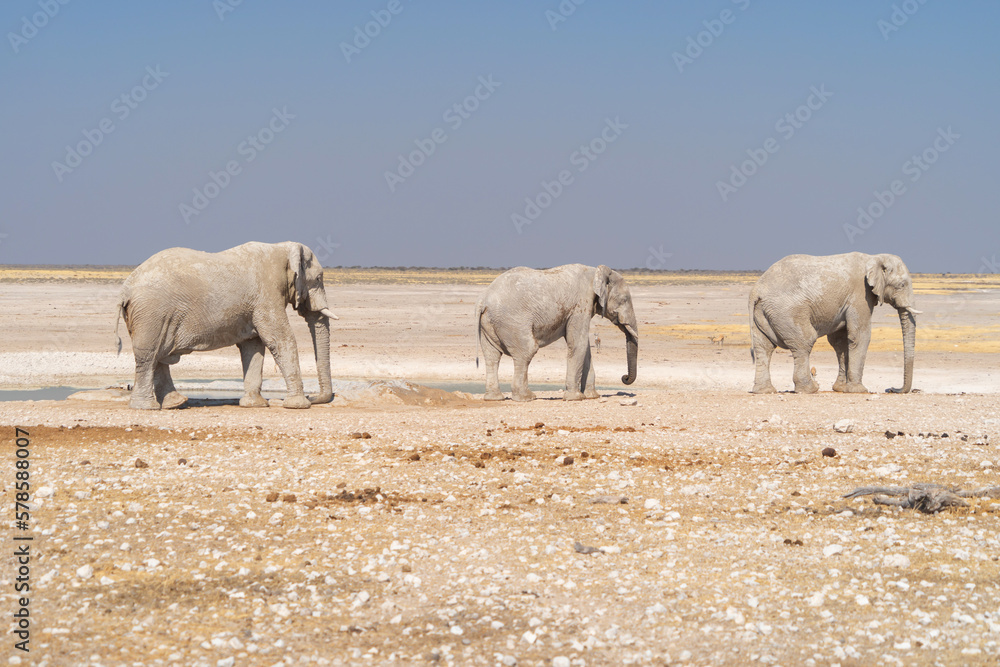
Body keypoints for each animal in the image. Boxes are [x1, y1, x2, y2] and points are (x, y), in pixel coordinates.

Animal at [115, 241, 338, 410]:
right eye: (319, 278)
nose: (313, 397)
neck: (281, 248)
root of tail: (126, 289)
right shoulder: (266, 294)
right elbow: (280, 339)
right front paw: (298, 405)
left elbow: (253, 346)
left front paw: (254, 405)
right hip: (150, 312)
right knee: (149, 356)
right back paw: (147, 407)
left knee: (158, 356)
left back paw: (175, 403)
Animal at [475, 264, 638, 401]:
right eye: (624, 299)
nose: (624, 377)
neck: (596, 271)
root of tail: (483, 301)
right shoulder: (580, 305)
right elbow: (578, 344)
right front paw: (575, 398)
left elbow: (584, 348)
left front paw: (592, 396)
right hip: (512, 322)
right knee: (526, 351)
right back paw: (526, 398)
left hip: (489, 324)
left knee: (492, 356)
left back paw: (494, 398)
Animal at [749, 252, 920, 394]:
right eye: (902, 285)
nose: (891, 389)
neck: (874, 257)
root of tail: (756, 290)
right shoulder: (860, 295)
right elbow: (860, 336)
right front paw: (858, 390)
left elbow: (840, 341)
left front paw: (841, 388)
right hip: (787, 312)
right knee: (804, 342)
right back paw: (810, 389)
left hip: (763, 313)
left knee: (764, 347)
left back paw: (764, 391)